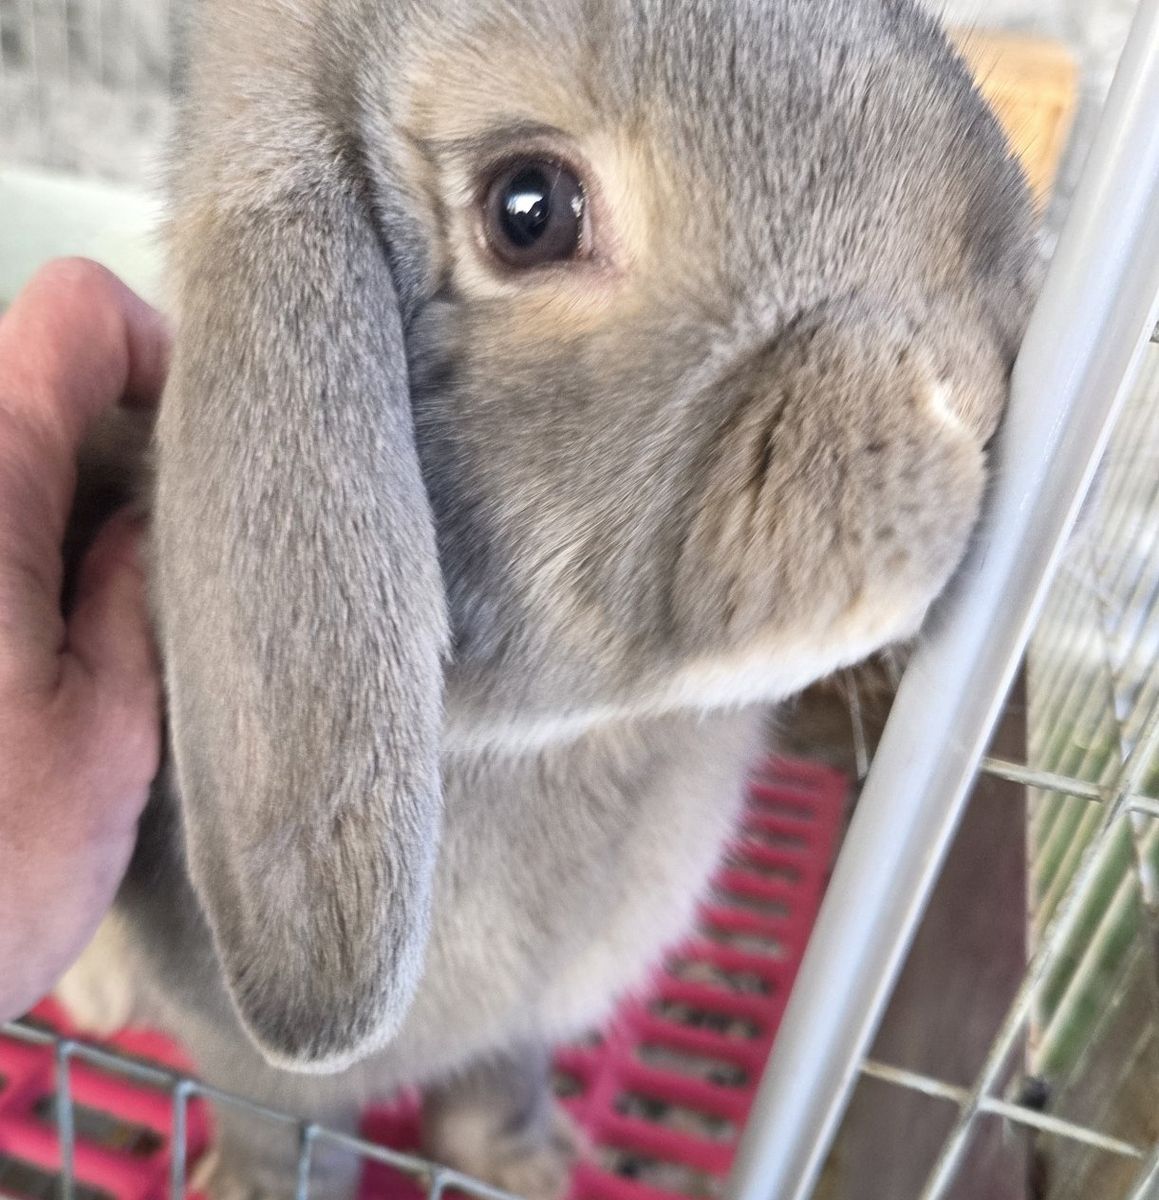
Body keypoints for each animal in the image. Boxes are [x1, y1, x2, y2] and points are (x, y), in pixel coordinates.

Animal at [56, 0, 1038, 1196]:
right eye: (529, 210)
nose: (980, 388)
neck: (560, 743)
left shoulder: (524, 1030)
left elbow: (500, 1087)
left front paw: (529, 1166)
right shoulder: (254, 1075)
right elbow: (277, 1135)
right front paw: (248, 1187)